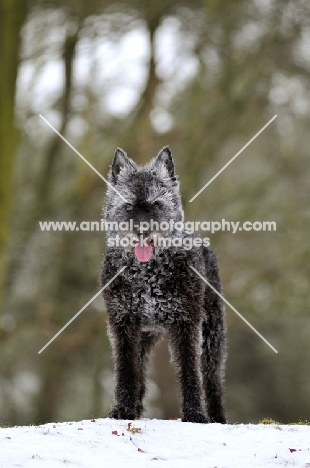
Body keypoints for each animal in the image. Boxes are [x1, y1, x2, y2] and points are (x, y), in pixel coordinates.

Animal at [100, 147, 226, 424]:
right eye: (128, 206)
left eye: (157, 204)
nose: (142, 230)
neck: (148, 277)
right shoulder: (123, 325)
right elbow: (127, 371)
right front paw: (122, 410)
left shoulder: (186, 324)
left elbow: (190, 371)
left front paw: (194, 414)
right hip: (145, 337)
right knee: (140, 374)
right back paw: (135, 409)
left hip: (212, 336)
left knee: (212, 380)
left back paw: (218, 418)